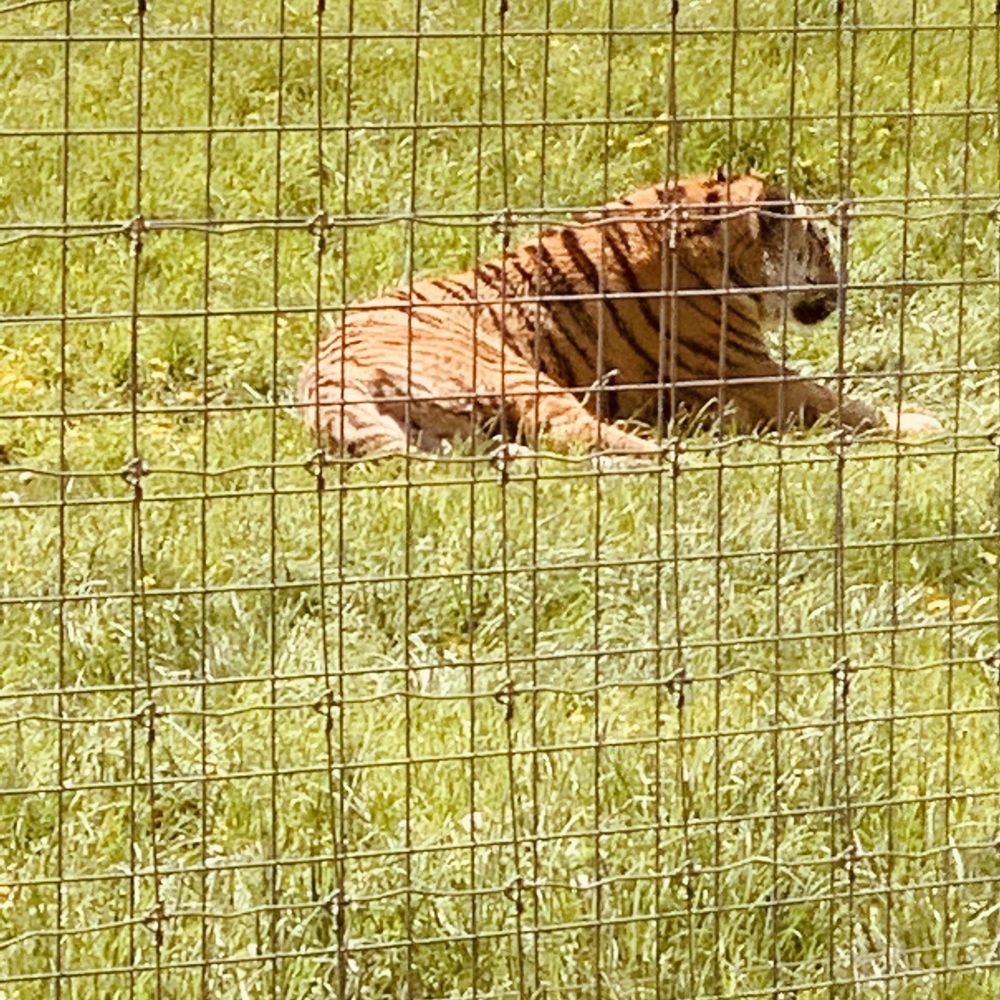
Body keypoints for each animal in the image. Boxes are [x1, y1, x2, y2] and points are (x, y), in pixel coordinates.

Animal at [298, 173, 940, 457]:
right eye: (823, 243)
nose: (842, 289)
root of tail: (322, 380)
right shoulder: (751, 374)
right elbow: (842, 403)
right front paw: (921, 421)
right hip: (512, 373)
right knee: (575, 435)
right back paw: (666, 452)